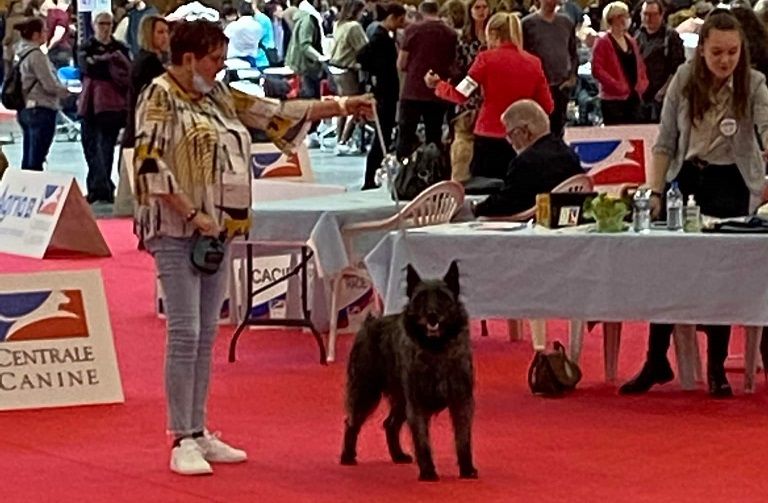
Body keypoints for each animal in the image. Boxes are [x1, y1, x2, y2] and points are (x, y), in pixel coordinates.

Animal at [340, 261, 477, 481]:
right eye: (420, 298)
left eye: (443, 297)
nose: (432, 315)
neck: (435, 349)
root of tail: (369, 323)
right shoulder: (417, 403)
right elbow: (422, 441)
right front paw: (428, 471)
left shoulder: (461, 401)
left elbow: (463, 438)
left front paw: (467, 468)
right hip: (366, 391)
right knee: (351, 422)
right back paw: (347, 455)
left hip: (400, 401)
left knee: (390, 424)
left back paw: (397, 455)